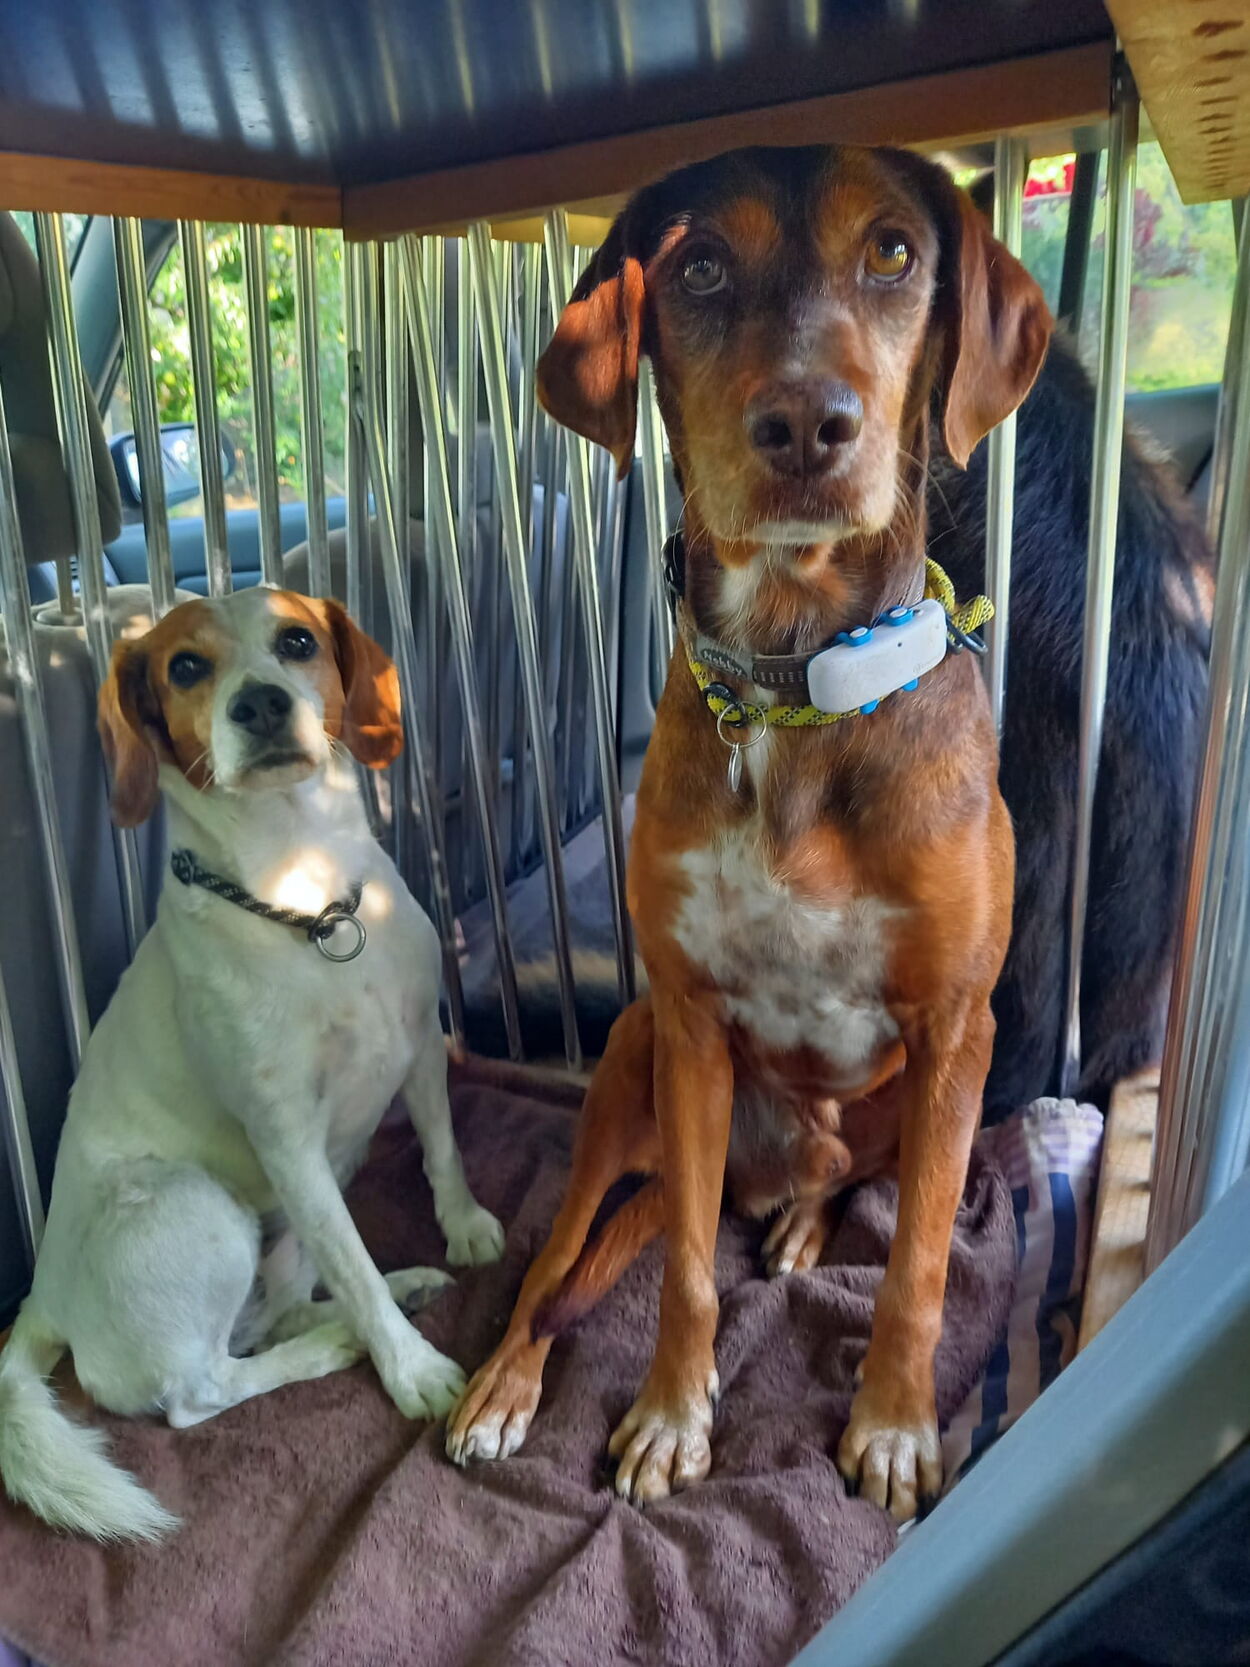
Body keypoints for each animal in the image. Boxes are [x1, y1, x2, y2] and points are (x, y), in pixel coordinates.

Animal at [0, 586, 503, 1541]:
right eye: (185, 666)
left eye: (296, 640)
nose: (261, 702)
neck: (307, 901)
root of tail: (40, 1294)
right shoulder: (289, 1142)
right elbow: (352, 1263)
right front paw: (411, 1367)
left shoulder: (420, 1044)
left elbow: (446, 1148)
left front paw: (461, 1225)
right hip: (199, 1207)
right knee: (200, 1388)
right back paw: (347, 1337)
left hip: (291, 1220)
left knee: (268, 1315)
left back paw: (395, 1291)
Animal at [445, 143, 1050, 1520]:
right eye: (700, 269)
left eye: (893, 252)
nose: (806, 425)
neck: (791, 681)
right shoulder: (684, 1020)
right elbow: (678, 1269)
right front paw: (674, 1413)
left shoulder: (957, 1031)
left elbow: (920, 1261)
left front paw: (891, 1426)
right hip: (627, 1068)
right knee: (566, 1255)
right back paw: (506, 1378)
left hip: (896, 1102)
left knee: (847, 1184)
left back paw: (804, 1221)